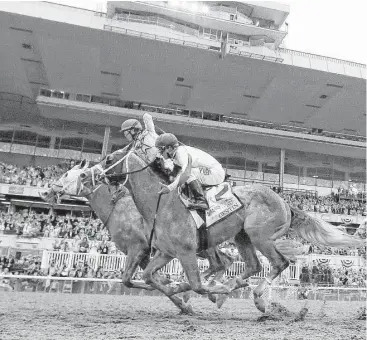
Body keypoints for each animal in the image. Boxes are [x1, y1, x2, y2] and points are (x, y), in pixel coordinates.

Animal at [41, 162, 234, 314]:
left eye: (66, 174)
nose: (46, 192)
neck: (117, 208)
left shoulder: (137, 248)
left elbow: (128, 280)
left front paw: (182, 298)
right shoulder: (144, 254)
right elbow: (153, 279)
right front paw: (179, 297)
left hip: (200, 246)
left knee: (220, 263)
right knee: (225, 261)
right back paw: (212, 290)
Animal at [95, 150, 366, 312]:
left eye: (109, 159)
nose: (95, 174)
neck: (161, 202)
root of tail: (284, 200)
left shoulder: (185, 252)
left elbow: (196, 284)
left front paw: (208, 292)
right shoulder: (166, 252)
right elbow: (149, 277)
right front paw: (177, 290)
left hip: (259, 235)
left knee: (279, 263)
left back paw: (255, 296)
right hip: (242, 236)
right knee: (254, 265)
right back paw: (233, 289)